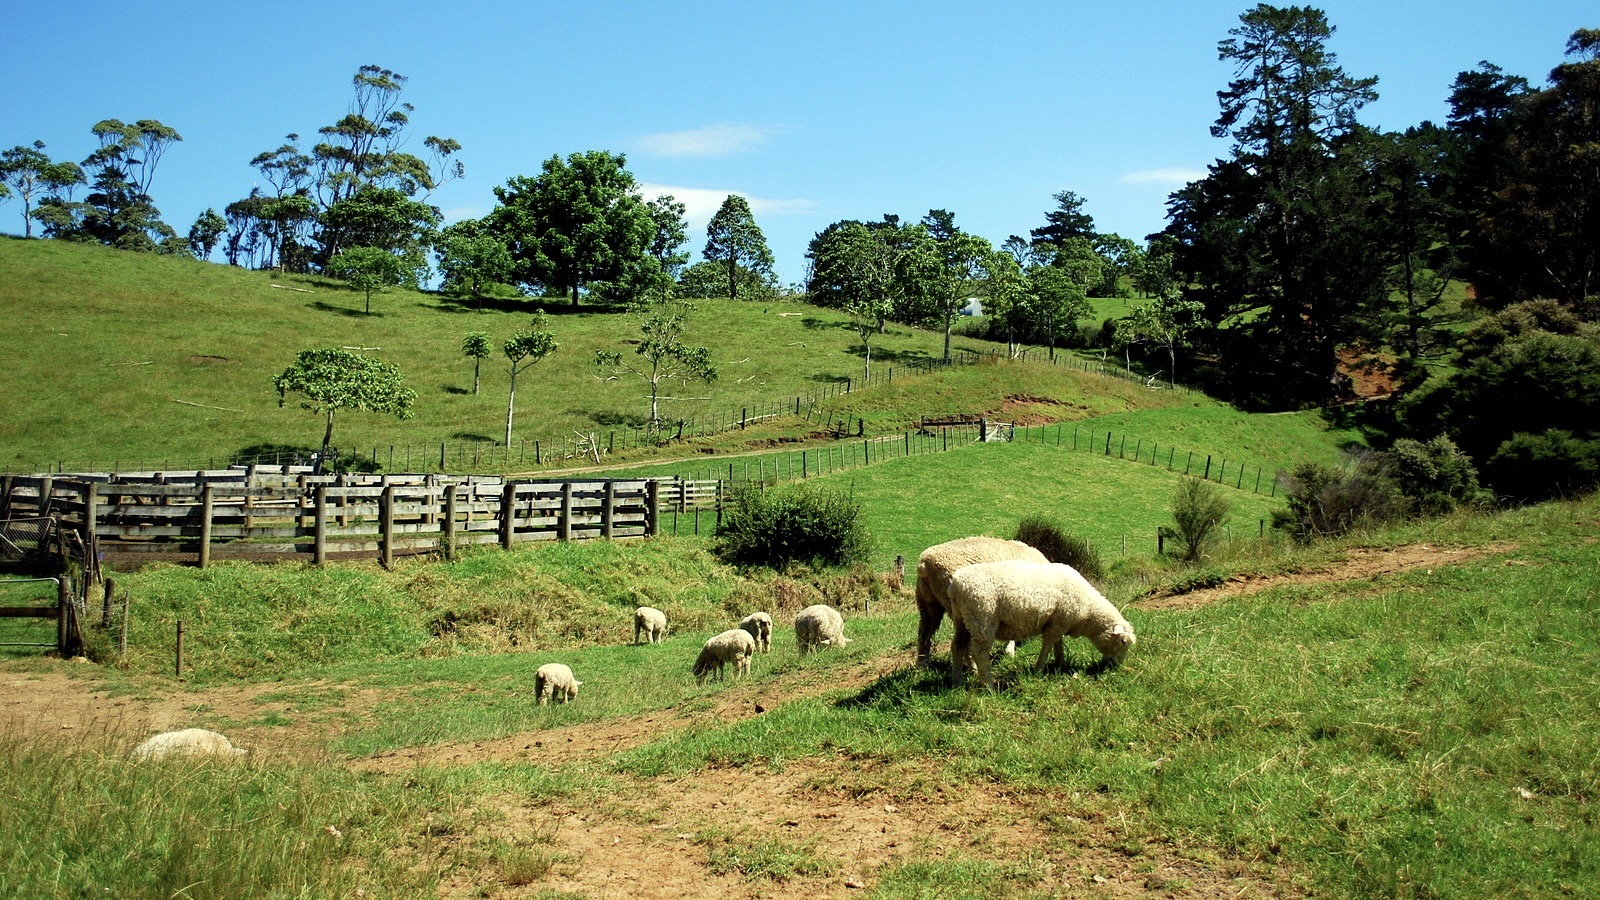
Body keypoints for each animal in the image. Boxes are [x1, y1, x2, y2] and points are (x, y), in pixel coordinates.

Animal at [915, 531, 1049, 666]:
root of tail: (925, 565)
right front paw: (1010, 651)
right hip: (964, 607)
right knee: (965, 643)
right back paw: (973, 666)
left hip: (927, 603)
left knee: (924, 635)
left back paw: (922, 665)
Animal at [947, 557, 1139, 688]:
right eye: (1123, 642)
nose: (1116, 667)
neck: (1088, 611)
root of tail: (956, 584)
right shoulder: (1056, 624)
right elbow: (1048, 645)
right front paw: (1039, 670)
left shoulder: (1059, 622)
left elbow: (1058, 644)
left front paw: (1060, 663)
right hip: (982, 619)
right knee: (979, 652)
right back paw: (990, 685)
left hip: (962, 619)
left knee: (958, 646)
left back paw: (956, 681)